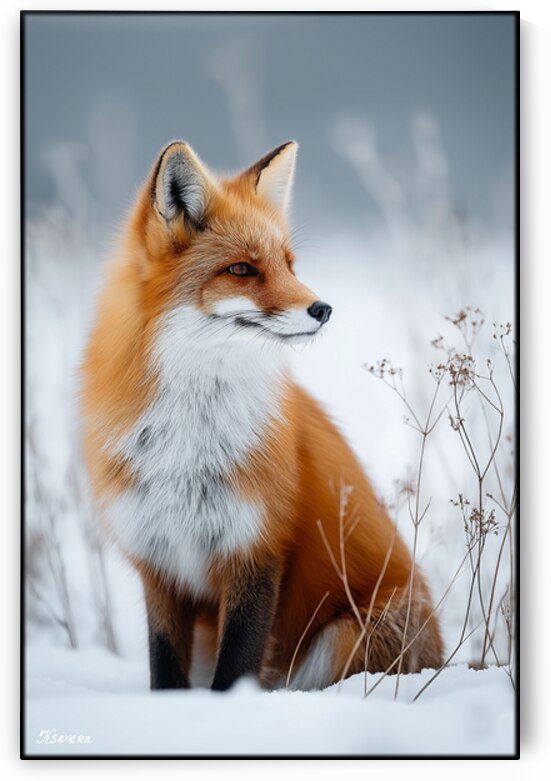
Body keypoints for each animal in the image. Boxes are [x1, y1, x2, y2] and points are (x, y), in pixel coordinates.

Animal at [81, 140, 444, 692]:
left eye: (290, 264)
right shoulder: (159, 562)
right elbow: (165, 670)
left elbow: (236, 666)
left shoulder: (257, 552)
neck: (189, 445)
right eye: (241, 269)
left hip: (346, 635)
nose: (324, 309)